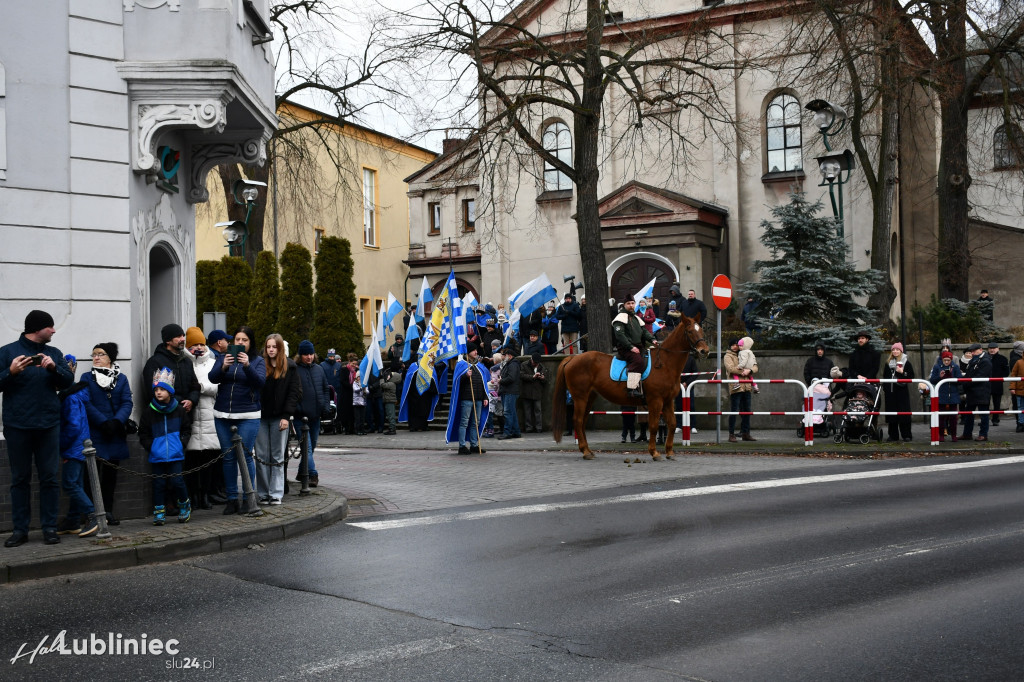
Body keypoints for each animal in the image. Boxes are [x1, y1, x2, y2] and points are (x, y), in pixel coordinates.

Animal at [557, 311, 708, 458]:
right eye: (690, 331)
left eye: (701, 330)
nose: (704, 351)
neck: (664, 363)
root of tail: (572, 358)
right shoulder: (655, 400)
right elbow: (653, 426)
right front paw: (654, 452)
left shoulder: (667, 401)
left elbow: (671, 424)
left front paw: (669, 452)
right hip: (580, 397)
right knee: (577, 420)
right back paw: (585, 451)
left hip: (589, 397)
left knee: (582, 421)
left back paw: (587, 450)